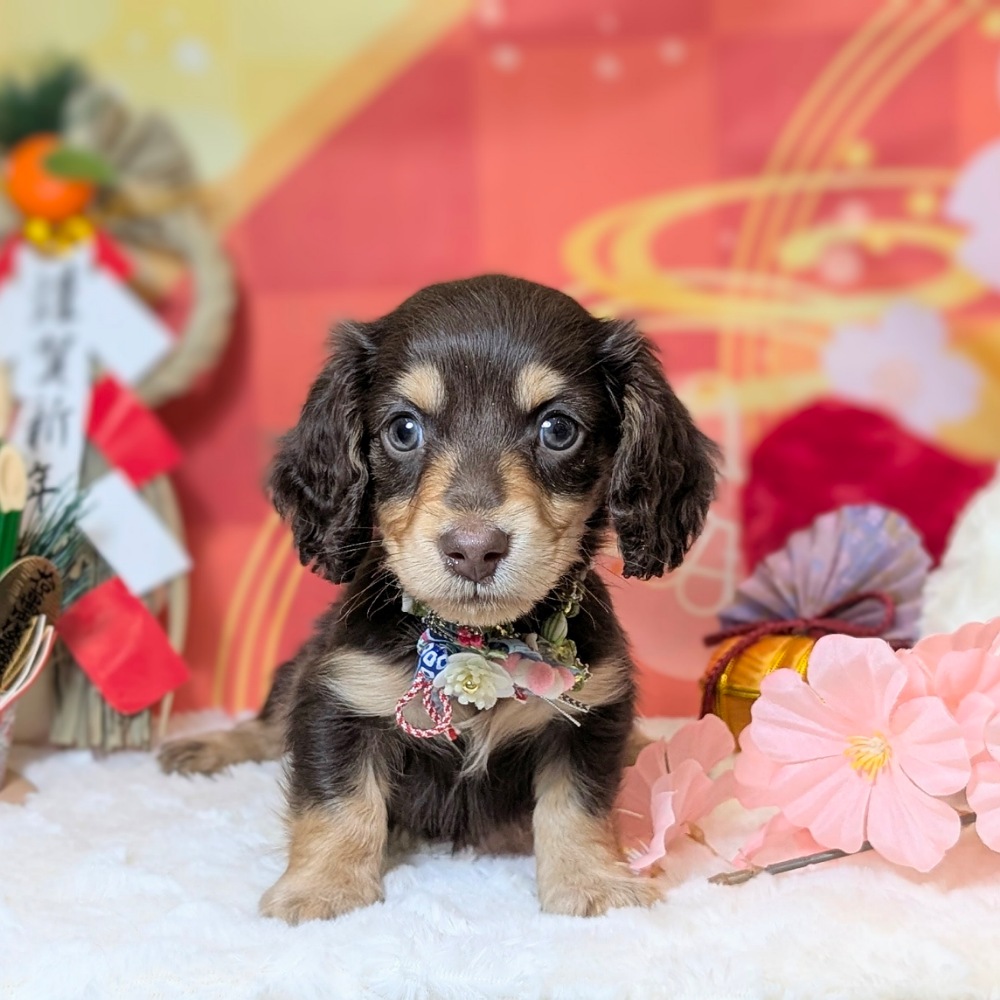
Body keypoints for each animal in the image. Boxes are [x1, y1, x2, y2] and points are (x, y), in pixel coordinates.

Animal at [159, 274, 719, 922]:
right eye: (404, 429)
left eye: (558, 429)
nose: (474, 550)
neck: (474, 643)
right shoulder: (338, 696)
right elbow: (336, 803)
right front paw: (322, 888)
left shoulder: (592, 714)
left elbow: (577, 807)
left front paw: (592, 882)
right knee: (269, 723)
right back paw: (206, 746)